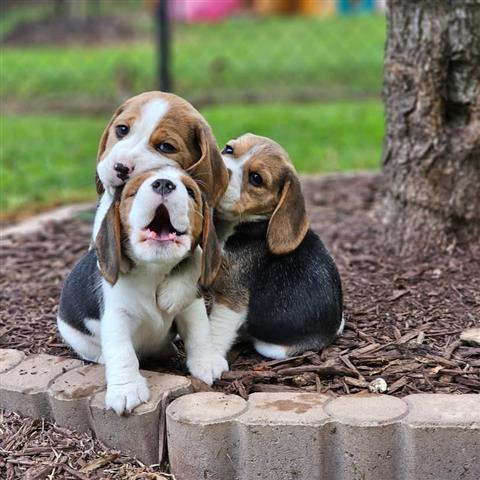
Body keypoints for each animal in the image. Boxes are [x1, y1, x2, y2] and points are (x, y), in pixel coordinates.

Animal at [57, 167, 227, 414]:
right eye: (134, 190)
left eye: (190, 191)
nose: (164, 184)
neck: (153, 270)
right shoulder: (116, 317)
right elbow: (122, 352)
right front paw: (125, 390)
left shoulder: (190, 307)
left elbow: (199, 332)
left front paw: (206, 363)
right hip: (73, 333)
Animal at [208, 133, 344, 362]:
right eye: (228, 149)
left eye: (256, 178)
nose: (220, 171)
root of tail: (331, 331)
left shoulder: (232, 296)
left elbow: (216, 329)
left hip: (273, 348)